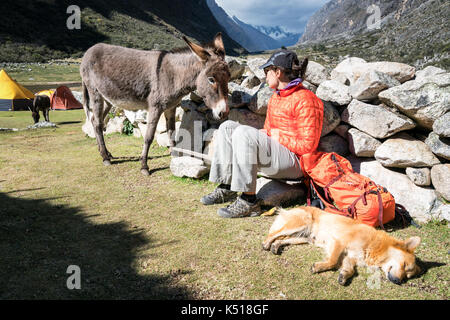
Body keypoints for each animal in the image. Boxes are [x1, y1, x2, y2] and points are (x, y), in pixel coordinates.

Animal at [262, 206, 420, 286]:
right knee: (275, 233)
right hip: (300, 223)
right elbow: (332, 261)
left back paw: (276, 246)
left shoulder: (349, 257)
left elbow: (350, 269)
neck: (375, 245)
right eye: (404, 265)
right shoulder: (339, 242)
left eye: (407, 276)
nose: (398, 281)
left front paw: (344, 275)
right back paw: (267, 243)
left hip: (304, 237)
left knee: (283, 239)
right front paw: (318, 267)